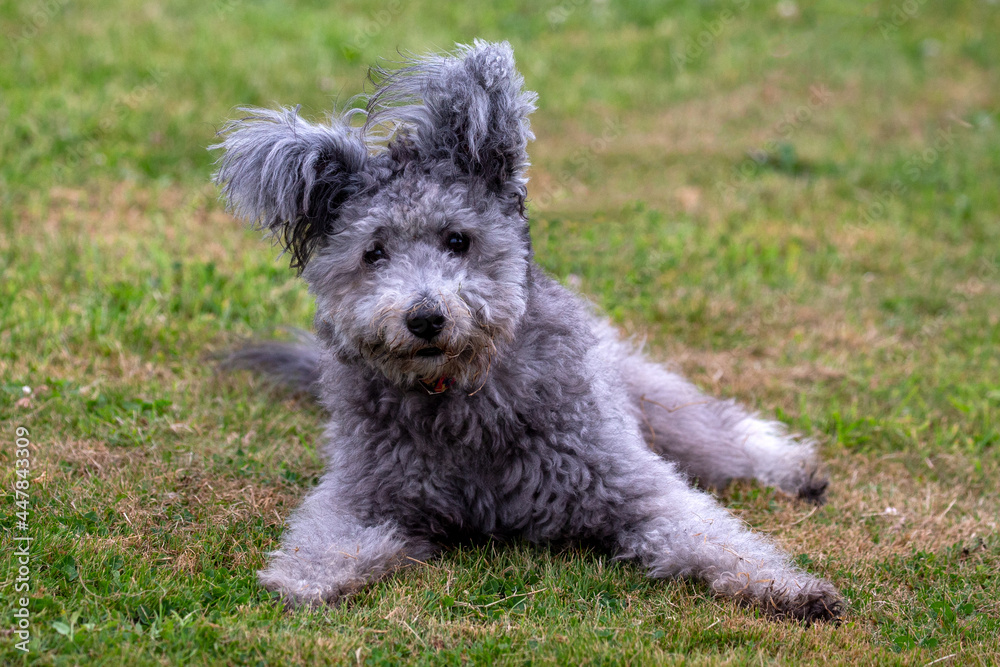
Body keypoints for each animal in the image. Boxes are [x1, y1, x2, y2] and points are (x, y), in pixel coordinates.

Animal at [211, 39, 844, 624]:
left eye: (457, 239)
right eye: (374, 253)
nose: (425, 318)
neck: (462, 400)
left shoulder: (632, 485)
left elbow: (710, 536)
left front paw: (785, 585)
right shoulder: (366, 496)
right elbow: (326, 537)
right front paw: (302, 580)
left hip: (653, 406)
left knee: (719, 432)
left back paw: (788, 465)